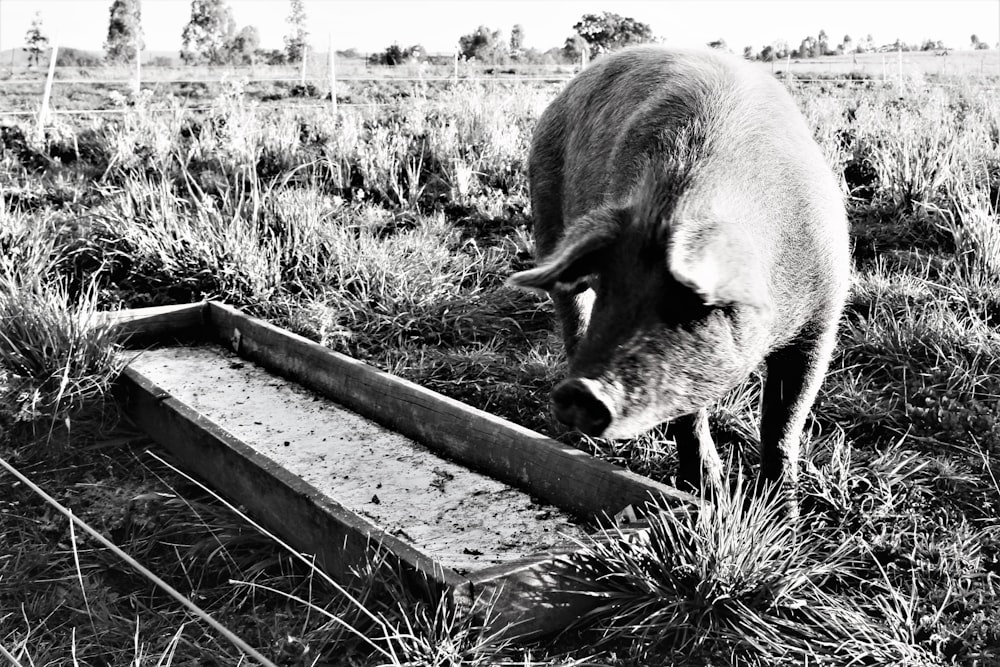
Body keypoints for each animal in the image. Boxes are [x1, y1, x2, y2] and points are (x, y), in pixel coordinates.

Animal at [512, 47, 848, 516]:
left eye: (691, 302)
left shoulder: (822, 317)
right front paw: (707, 494)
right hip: (547, 220)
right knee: (571, 310)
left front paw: (784, 514)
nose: (582, 391)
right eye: (613, 288)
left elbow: (785, 420)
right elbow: (689, 416)